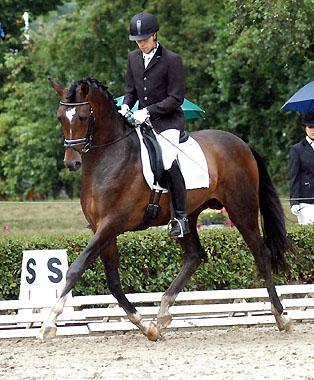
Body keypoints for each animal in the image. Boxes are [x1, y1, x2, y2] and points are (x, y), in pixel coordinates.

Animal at [39, 75, 294, 340]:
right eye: (60, 117)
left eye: (82, 117)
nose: (72, 163)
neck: (108, 158)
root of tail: (241, 144)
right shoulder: (102, 228)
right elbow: (113, 281)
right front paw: (146, 326)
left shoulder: (111, 224)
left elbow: (76, 268)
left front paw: (48, 323)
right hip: (189, 214)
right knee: (194, 256)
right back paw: (162, 315)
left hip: (241, 209)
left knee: (261, 254)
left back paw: (281, 317)